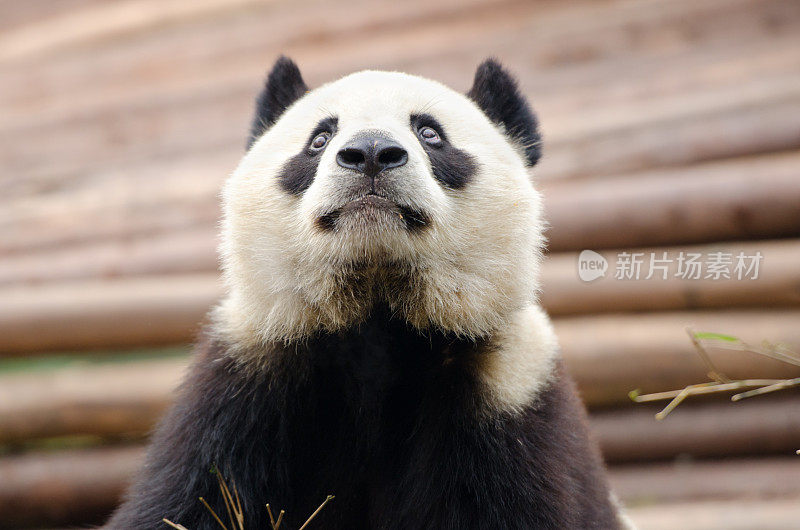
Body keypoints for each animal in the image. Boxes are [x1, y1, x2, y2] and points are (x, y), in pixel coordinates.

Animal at [104, 55, 632, 524]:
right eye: (319, 138)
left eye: (430, 133)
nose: (371, 152)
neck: (377, 309)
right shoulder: (243, 384)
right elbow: (185, 500)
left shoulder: (509, 395)